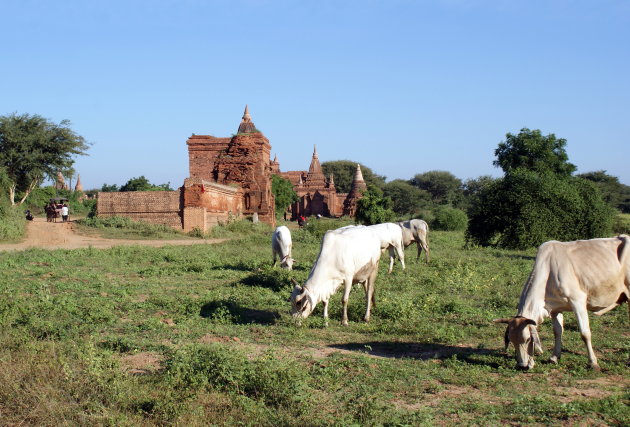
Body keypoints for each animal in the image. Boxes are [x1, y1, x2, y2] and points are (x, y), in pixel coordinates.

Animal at [496, 236, 628, 370]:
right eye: (512, 340)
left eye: (528, 339)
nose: (522, 365)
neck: (548, 270)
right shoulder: (555, 309)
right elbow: (557, 331)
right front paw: (554, 357)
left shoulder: (578, 301)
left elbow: (585, 333)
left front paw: (593, 362)